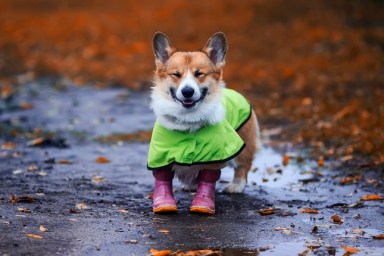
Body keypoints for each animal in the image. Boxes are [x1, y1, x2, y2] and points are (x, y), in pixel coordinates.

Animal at [147, 32, 260, 214]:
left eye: (199, 73)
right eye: (176, 74)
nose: (187, 91)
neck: (188, 120)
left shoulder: (215, 155)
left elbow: (208, 178)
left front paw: (203, 203)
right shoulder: (161, 154)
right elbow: (163, 177)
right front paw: (164, 202)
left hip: (243, 143)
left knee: (244, 165)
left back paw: (236, 186)